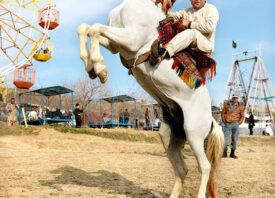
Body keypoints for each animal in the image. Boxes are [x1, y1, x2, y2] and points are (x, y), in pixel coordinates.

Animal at [77, 0, 224, 198]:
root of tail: (211, 120)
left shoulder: (130, 38)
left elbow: (95, 29)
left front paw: (100, 70)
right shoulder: (114, 44)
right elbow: (86, 28)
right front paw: (93, 68)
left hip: (194, 135)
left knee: (205, 167)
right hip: (169, 137)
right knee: (182, 170)